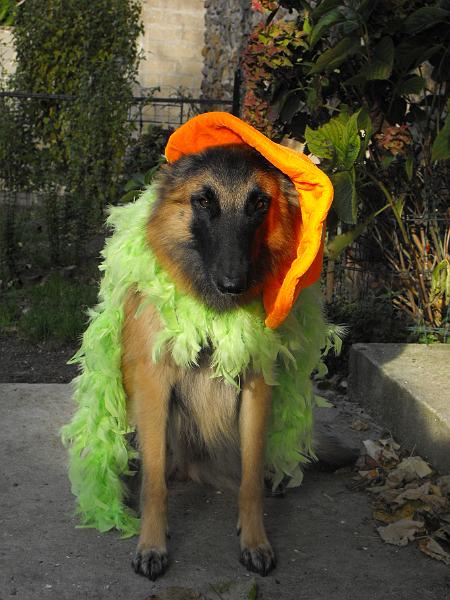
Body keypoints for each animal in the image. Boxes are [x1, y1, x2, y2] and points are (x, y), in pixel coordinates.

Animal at [119, 142, 304, 580]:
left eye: (259, 204)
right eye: (203, 201)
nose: (234, 285)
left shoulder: (256, 389)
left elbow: (251, 479)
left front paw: (254, 541)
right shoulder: (154, 387)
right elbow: (154, 485)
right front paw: (151, 545)